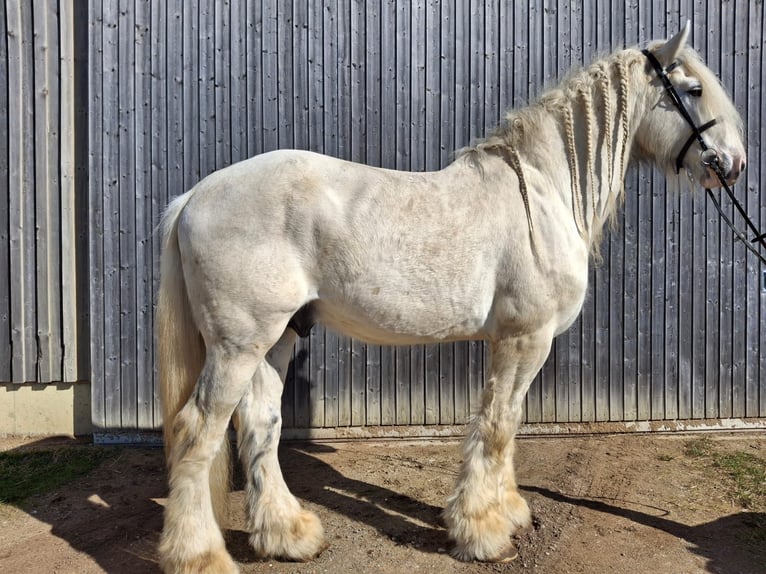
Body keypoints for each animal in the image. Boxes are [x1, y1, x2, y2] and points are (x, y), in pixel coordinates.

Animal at [156, 23, 745, 573]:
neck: (543, 190)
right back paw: (199, 555)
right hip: (238, 345)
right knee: (197, 431)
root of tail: (195, 196)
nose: (733, 164)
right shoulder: (524, 339)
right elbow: (497, 425)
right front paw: (483, 533)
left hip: (275, 339)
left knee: (260, 424)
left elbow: (509, 422)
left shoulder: (515, 343)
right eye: (693, 89)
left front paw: (508, 512)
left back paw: (287, 535)